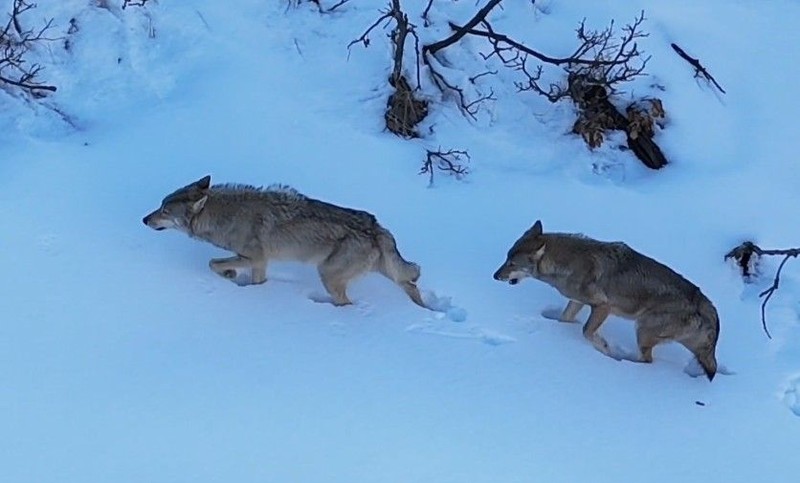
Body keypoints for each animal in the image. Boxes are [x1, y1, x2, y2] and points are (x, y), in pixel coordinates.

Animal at [142, 176, 424, 308]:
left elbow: (212, 263)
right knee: (411, 284)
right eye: (160, 205)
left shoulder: (254, 257)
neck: (225, 216)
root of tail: (376, 227)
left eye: (164, 211)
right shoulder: (260, 262)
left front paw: (230, 274)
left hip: (328, 275)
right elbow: (252, 279)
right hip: (385, 272)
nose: (144, 219)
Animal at [490, 220, 720, 382]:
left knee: (647, 361)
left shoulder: (603, 306)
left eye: (511, 264)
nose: (494, 276)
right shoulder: (577, 301)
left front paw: (605, 349)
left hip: (642, 330)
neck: (567, 265)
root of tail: (702, 301)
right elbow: (565, 320)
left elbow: (586, 332)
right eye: (506, 259)